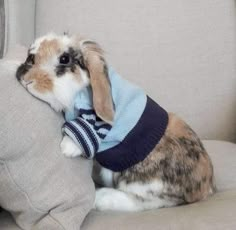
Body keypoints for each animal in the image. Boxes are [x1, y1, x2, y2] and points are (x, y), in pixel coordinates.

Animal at [16, 33, 216, 211]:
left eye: (64, 59)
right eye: (30, 55)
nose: (25, 78)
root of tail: (206, 187)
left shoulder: (99, 122)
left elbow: (89, 128)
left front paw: (67, 147)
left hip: (142, 182)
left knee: (151, 202)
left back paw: (101, 198)